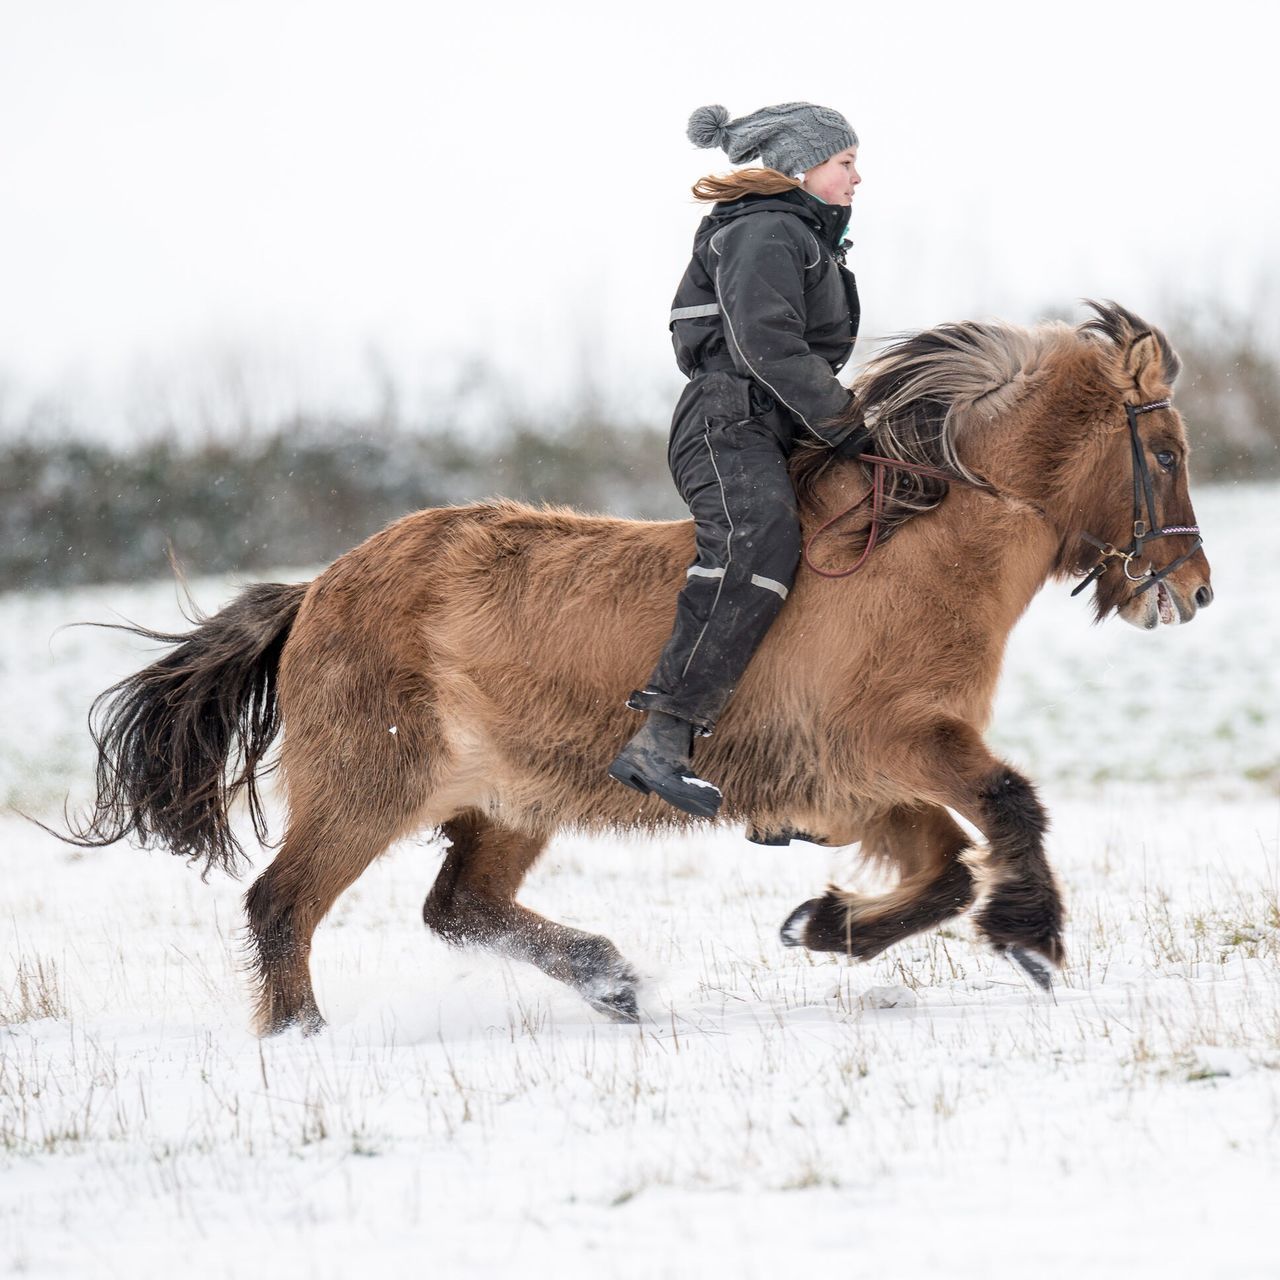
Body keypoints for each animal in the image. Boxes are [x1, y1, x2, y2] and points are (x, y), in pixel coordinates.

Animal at [64, 302, 1213, 1039]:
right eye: (1162, 453)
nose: (1192, 590)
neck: (917, 550)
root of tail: (316, 591)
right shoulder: (897, 743)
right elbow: (1008, 806)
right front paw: (1032, 938)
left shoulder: (852, 784)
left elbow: (946, 869)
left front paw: (823, 924)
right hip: (367, 787)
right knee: (284, 903)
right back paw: (302, 1034)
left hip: (507, 802)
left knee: (456, 905)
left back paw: (612, 982)